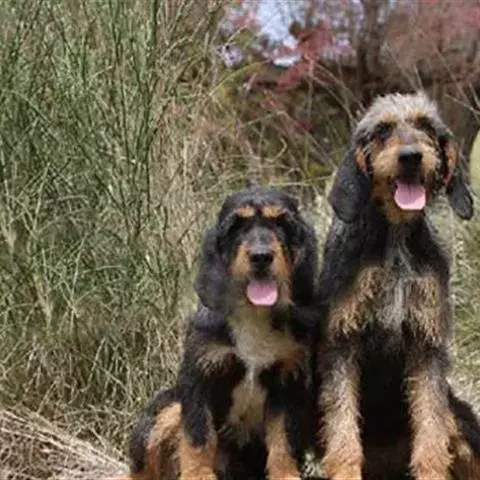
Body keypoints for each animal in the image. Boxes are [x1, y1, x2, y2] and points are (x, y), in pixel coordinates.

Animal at [127, 186, 319, 480]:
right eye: (237, 226)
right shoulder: (200, 375)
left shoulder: (289, 382)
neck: (253, 312)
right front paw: (198, 474)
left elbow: (283, 439)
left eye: (281, 223)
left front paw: (286, 474)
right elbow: (198, 434)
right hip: (168, 407)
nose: (261, 256)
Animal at [315, 92, 480, 480]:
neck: (395, 242)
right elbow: (342, 429)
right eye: (383, 130)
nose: (410, 157)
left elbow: (431, 431)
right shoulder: (341, 346)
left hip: (461, 418)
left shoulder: (427, 347)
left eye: (425, 126)